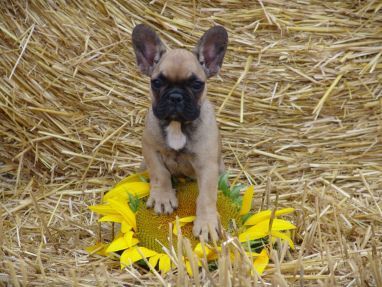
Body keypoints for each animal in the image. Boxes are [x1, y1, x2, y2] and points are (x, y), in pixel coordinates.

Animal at [132, 24, 227, 241]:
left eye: (196, 84)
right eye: (157, 83)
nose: (175, 96)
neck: (177, 125)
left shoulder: (207, 165)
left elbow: (206, 195)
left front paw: (206, 223)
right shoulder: (150, 149)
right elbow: (160, 173)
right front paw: (162, 198)